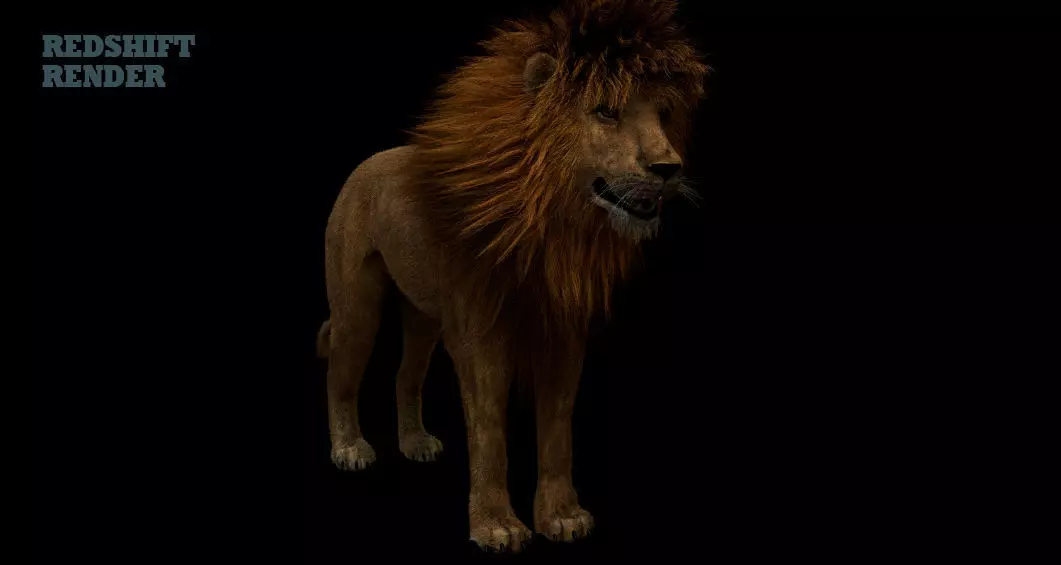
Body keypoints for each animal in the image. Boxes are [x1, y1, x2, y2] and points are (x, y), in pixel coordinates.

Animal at [317, 0, 707, 552]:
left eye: (664, 114)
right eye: (606, 111)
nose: (668, 167)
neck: (552, 224)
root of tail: (365, 163)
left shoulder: (565, 337)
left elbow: (558, 432)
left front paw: (561, 517)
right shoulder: (479, 338)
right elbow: (489, 435)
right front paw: (496, 526)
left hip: (422, 318)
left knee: (405, 375)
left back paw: (415, 442)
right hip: (358, 305)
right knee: (341, 373)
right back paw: (349, 448)